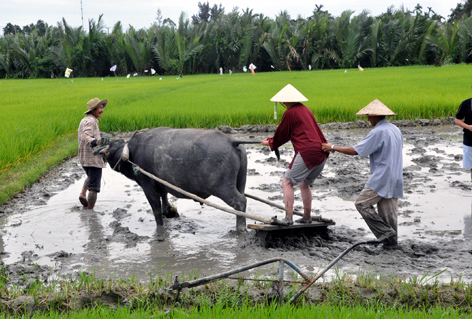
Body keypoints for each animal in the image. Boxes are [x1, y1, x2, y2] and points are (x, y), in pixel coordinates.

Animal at [94, 128, 253, 232]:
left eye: (109, 151)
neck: (132, 153)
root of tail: (231, 141)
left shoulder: (148, 186)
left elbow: (156, 209)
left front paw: (160, 227)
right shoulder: (162, 184)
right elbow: (164, 198)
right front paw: (170, 212)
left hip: (222, 187)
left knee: (240, 202)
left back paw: (240, 229)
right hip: (240, 183)